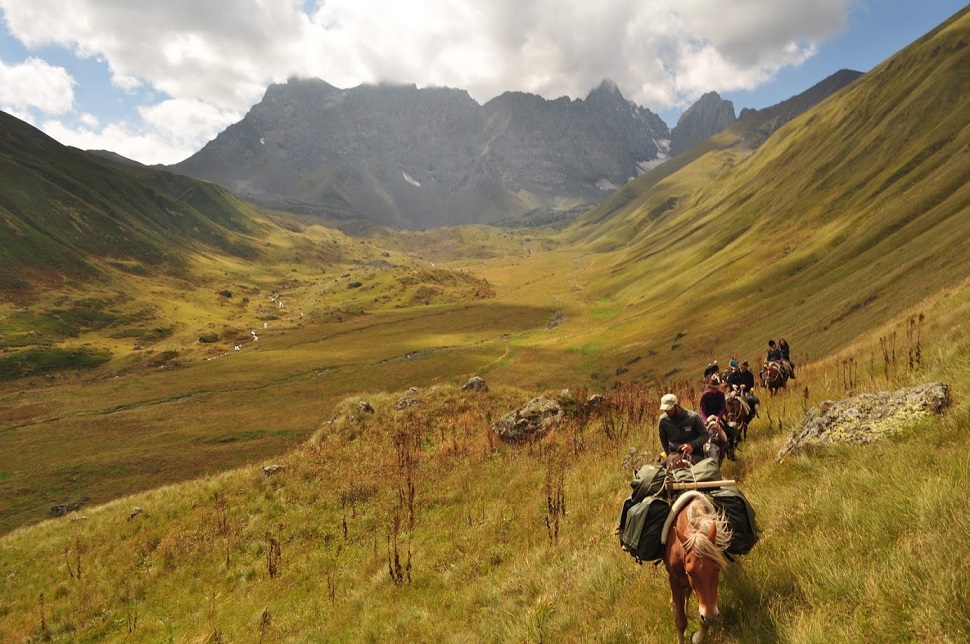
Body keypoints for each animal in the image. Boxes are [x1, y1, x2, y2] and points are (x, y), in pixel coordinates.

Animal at [660, 490, 728, 640]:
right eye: (690, 572)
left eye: (717, 569)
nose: (712, 618)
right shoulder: (674, 579)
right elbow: (680, 622)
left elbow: (702, 621)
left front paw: (696, 638)